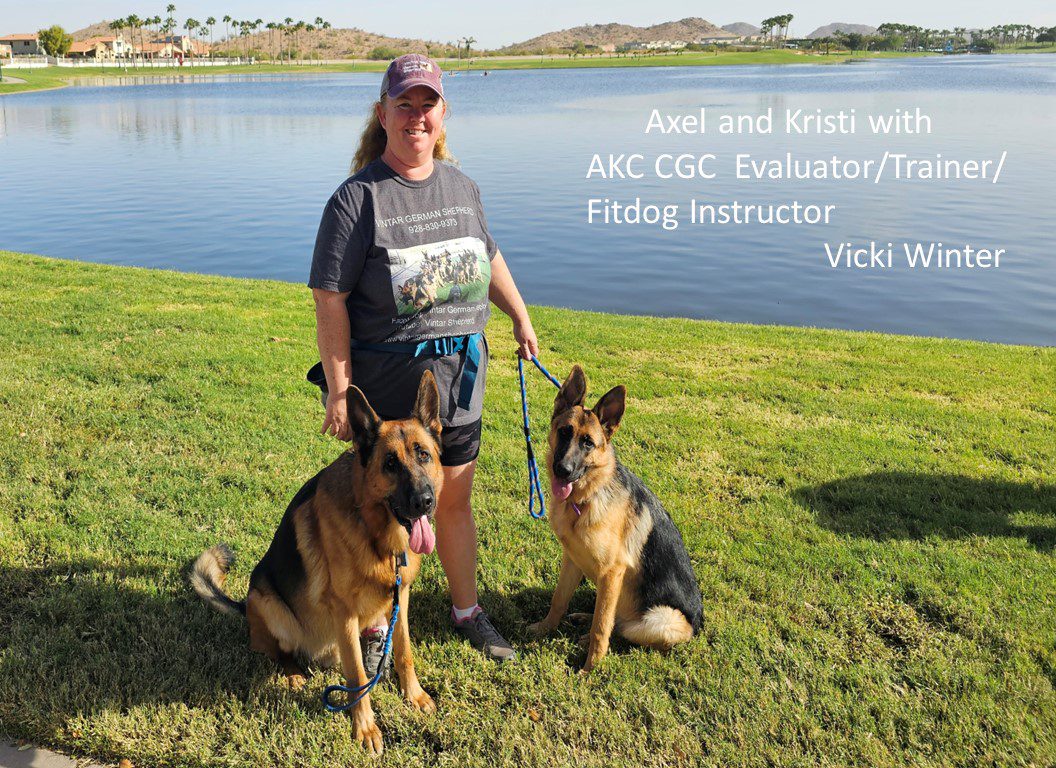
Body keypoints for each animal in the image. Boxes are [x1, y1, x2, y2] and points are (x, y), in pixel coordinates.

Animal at [192, 373, 443, 756]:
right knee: (277, 651)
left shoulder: (400, 598)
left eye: (423, 455)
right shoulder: (345, 613)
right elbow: (357, 677)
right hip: (269, 603)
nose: (424, 502)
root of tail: (245, 606)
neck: (374, 531)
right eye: (390, 464)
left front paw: (413, 696)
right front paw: (365, 728)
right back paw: (293, 673)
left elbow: (404, 652)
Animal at [525, 365, 701, 671]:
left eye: (588, 443)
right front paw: (545, 628)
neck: (586, 498)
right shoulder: (572, 560)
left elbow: (602, 627)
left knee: (619, 627)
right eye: (564, 432)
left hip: (659, 619)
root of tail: (699, 624)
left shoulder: (612, 572)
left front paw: (590, 668)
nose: (562, 470)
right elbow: (559, 600)